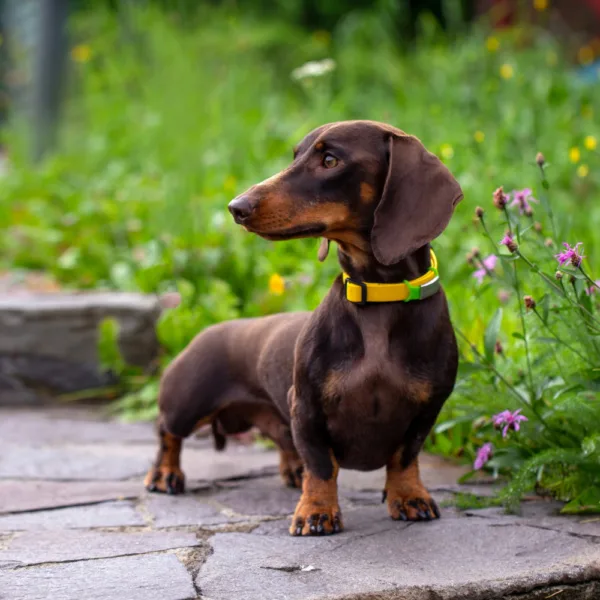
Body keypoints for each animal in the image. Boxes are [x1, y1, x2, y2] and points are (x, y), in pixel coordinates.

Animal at [145, 120, 464, 536]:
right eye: (295, 155)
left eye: (330, 160)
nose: (236, 207)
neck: (379, 296)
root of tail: (207, 330)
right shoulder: (307, 406)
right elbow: (322, 465)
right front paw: (316, 511)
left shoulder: (427, 410)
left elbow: (405, 458)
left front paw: (410, 497)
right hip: (187, 401)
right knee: (166, 432)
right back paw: (164, 473)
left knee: (284, 442)